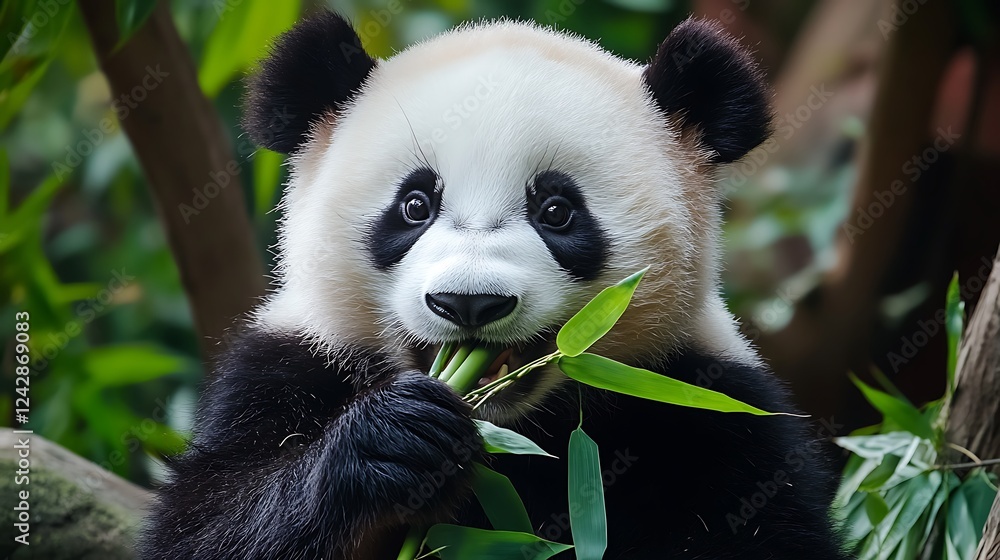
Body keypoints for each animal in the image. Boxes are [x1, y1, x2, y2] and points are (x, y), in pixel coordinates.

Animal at [141, 11, 848, 560]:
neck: (514, 431)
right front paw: (396, 440)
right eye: (415, 205)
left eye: (558, 211)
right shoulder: (288, 366)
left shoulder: (705, 408)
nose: (470, 302)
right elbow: (207, 525)